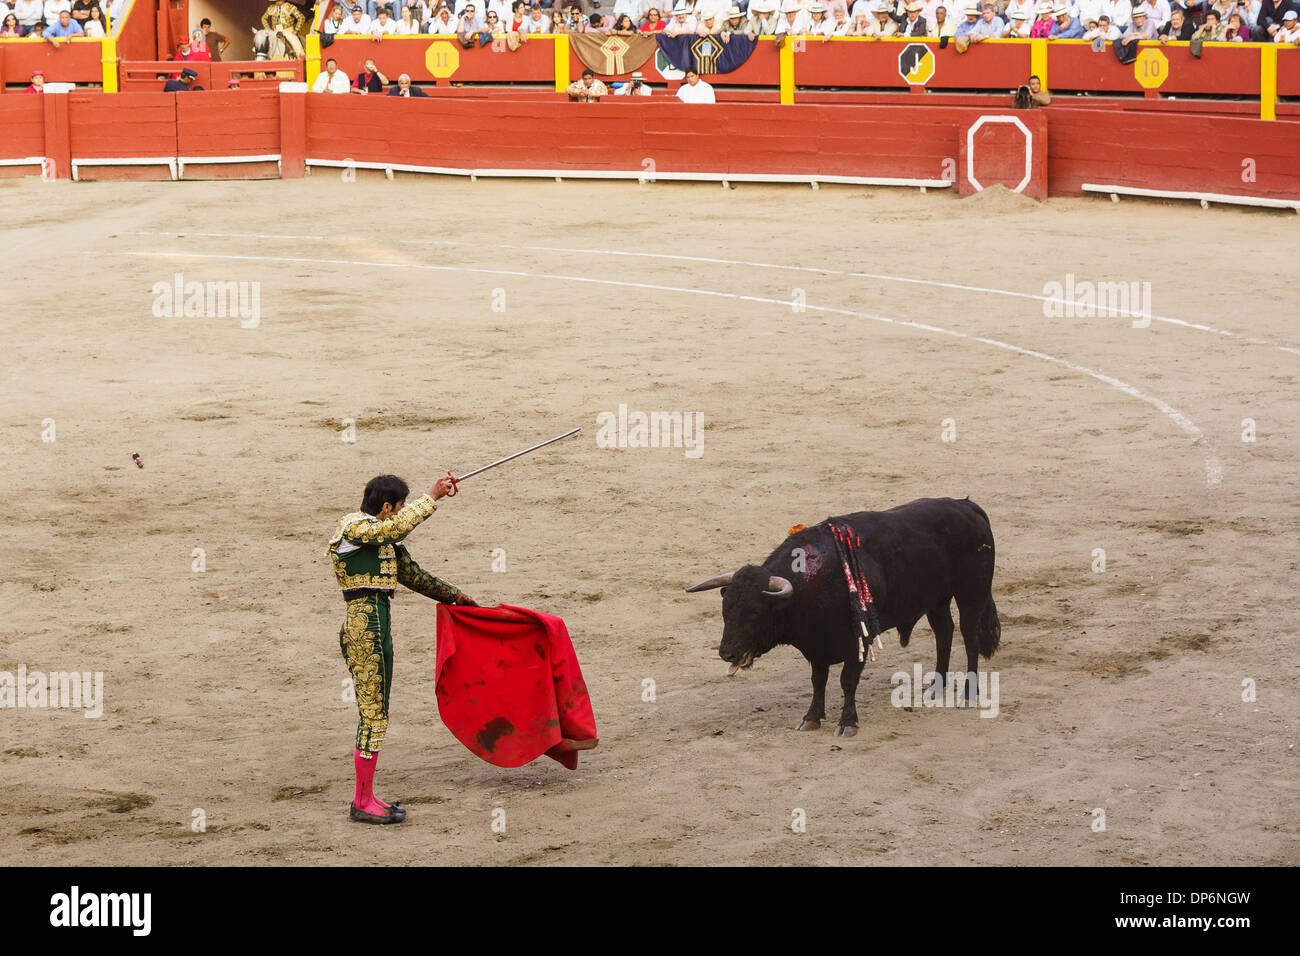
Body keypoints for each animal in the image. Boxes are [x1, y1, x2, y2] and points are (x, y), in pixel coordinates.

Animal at [686, 496, 998, 738]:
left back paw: (968, 693)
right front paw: (811, 718)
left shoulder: (857, 641)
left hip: (971, 595)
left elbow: (847, 680)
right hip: (937, 600)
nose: (726, 652)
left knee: (969, 636)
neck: (809, 587)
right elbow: (818, 681)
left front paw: (848, 722)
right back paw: (935, 688)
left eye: (754, 612)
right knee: (944, 633)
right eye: (726, 610)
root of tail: (967, 506)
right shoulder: (815, 646)